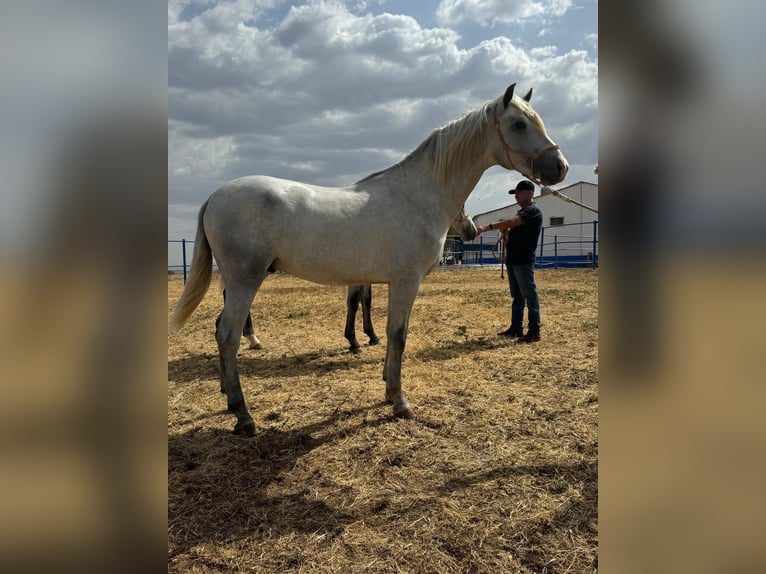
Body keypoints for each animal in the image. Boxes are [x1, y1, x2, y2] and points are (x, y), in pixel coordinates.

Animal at [171, 84, 568, 436]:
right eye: (518, 124)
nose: (559, 167)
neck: (417, 195)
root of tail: (215, 195)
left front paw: (384, 381)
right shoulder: (405, 281)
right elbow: (397, 334)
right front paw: (398, 399)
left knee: (221, 330)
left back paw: (228, 398)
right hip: (244, 279)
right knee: (227, 335)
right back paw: (243, 415)